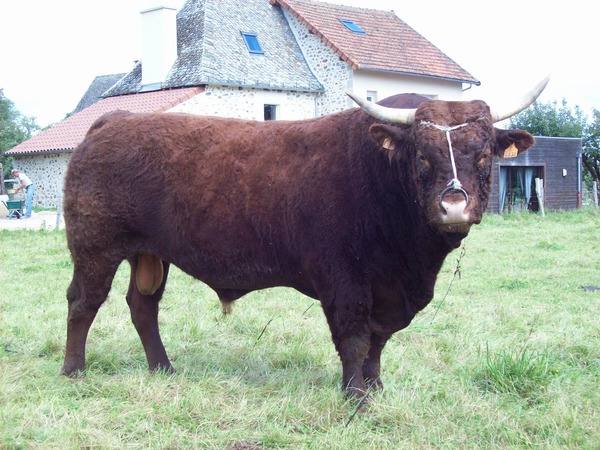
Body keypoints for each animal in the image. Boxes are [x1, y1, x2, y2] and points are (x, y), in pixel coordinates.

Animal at [59, 76, 548, 398]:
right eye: (422, 157)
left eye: (483, 156)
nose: (454, 206)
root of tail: (114, 120)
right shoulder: (345, 281)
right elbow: (354, 339)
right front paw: (356, 398)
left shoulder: (388, 290)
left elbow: (379, 341)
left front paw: (376, 386)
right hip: (95, 247)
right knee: (83, 303)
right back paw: (74, 372)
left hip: (150, 254)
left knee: (143, 307)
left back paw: (163, 369)